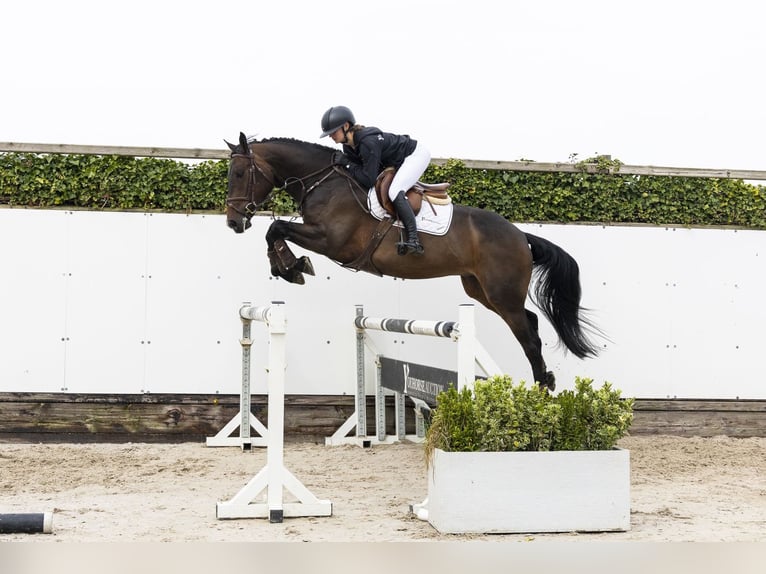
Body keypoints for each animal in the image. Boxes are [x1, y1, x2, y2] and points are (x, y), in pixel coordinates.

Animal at [225, 132, 601, 390]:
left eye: (240, 174)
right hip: (481, 290)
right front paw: (287, 266)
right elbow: (274, 231)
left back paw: (541, 387)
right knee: (530, 322)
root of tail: (521, 235)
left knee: (528, 336)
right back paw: (544, 380)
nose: (233, 222)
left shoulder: (331, 242)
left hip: (501, 292)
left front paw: (293, 267)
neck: (324, 182)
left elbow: (275, 228)